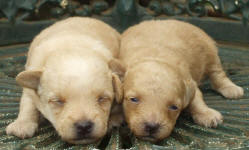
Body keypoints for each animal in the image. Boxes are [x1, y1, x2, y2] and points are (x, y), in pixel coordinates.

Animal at [5, 16, 123, 144]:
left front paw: (115, 117)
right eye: (58, 101)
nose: (84, 126)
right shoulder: (30, 78)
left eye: (102, 99)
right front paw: (22, 124)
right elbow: (28, 103)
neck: (71, 48)